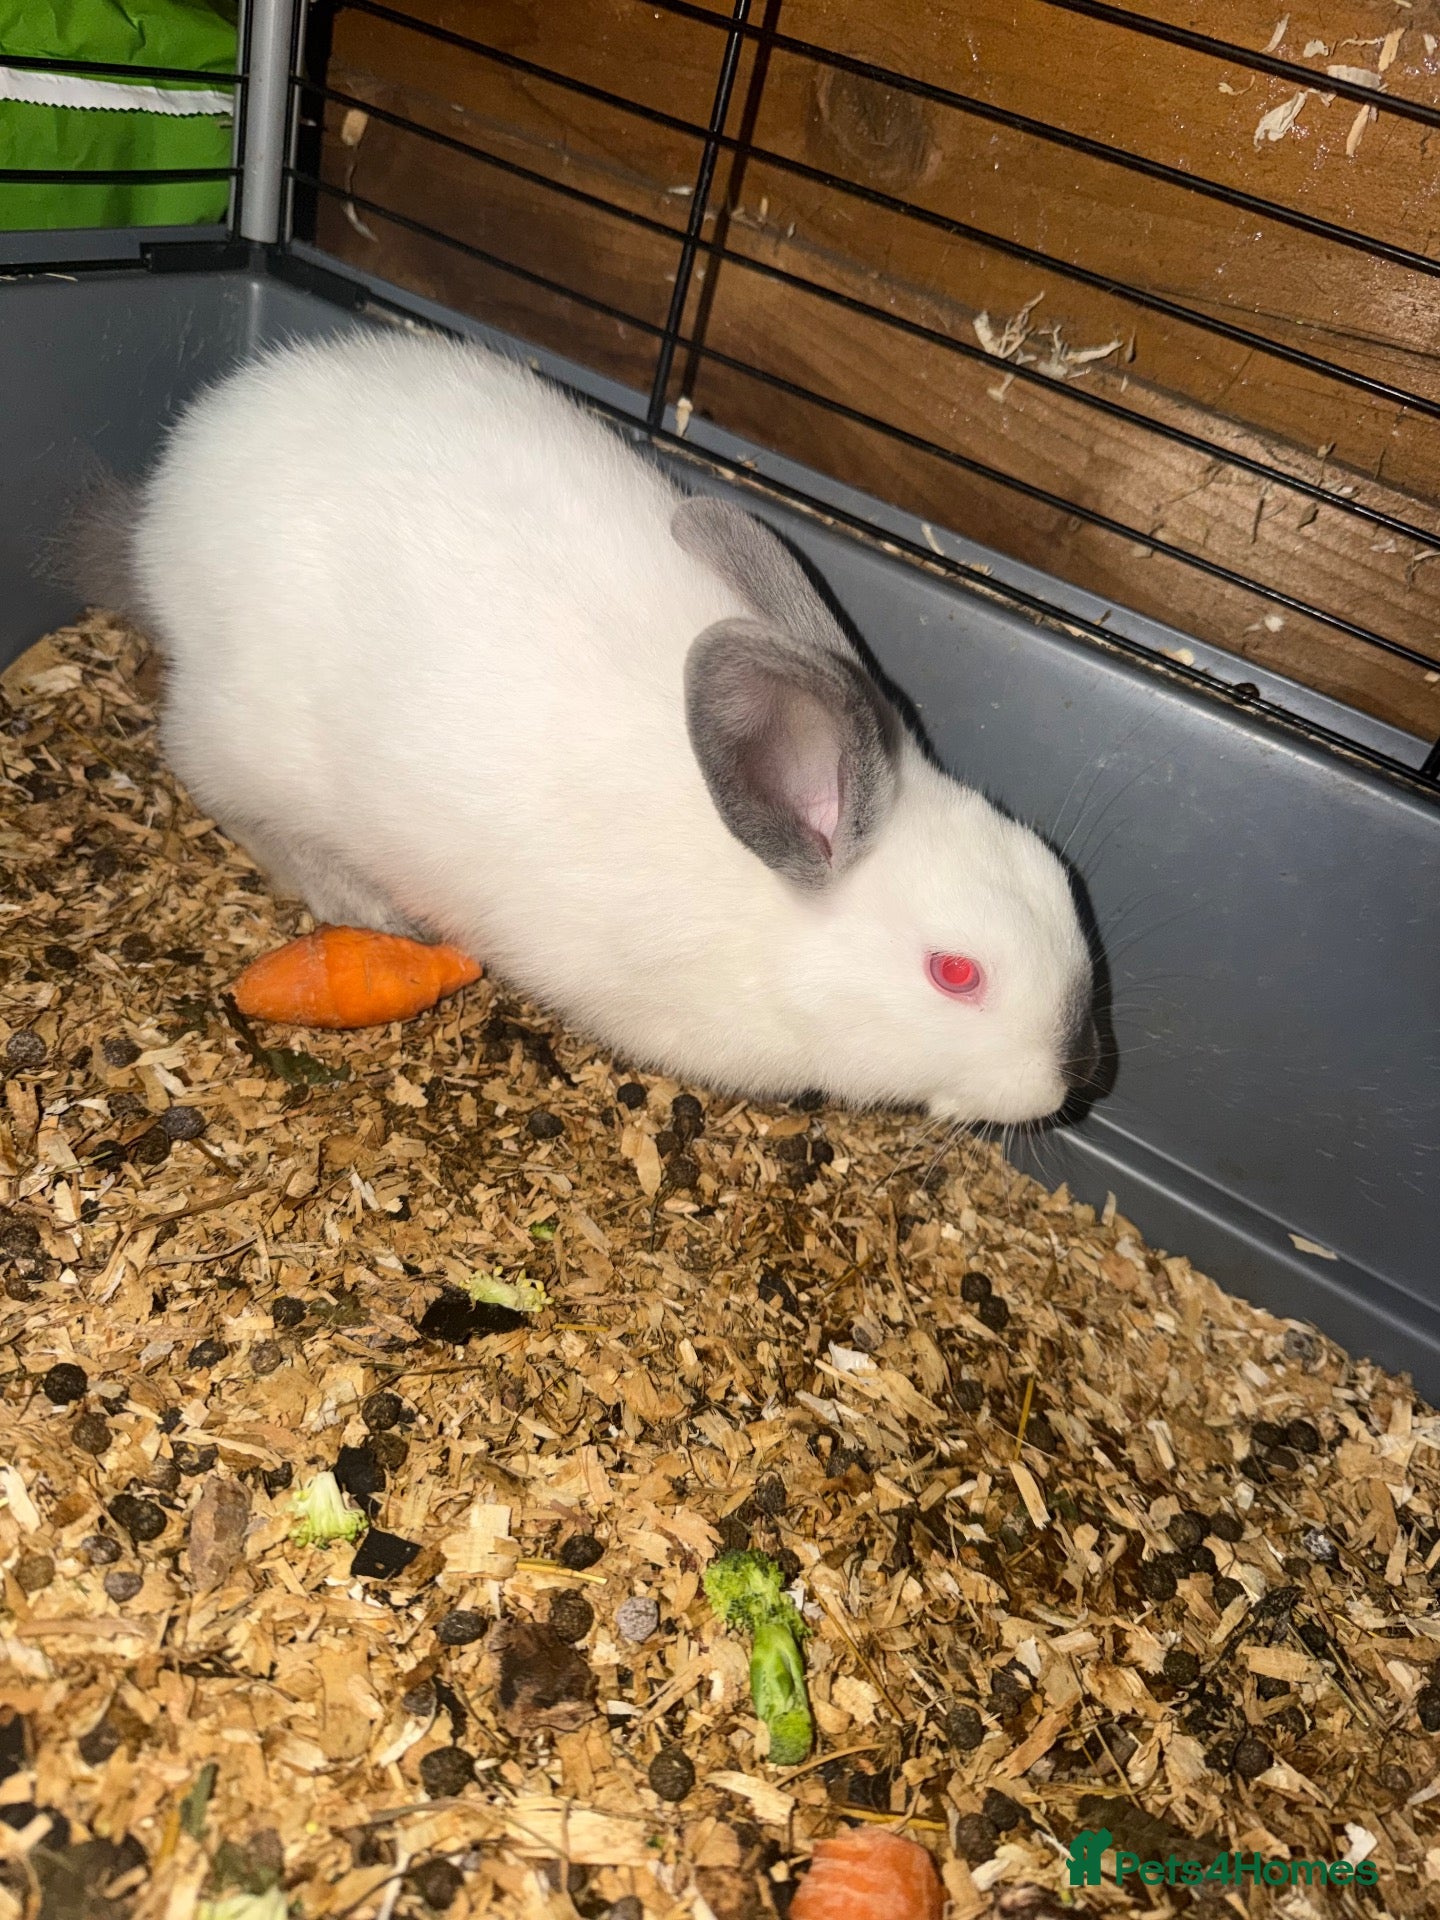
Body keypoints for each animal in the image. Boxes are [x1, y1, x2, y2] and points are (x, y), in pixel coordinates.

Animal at [84, 327, 1097, 1124]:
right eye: (956, 974)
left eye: (1058, 882)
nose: (1058, 1088)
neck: (775, 906)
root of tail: (175, 497)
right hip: (249, 736)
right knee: (216, 785)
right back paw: (358, 899)